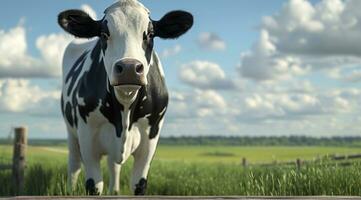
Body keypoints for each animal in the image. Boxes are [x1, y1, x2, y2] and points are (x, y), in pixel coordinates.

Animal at [57, 0, 193, 195]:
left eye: (150, 34)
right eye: (104, 34)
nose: (129, 68)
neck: (125, 108)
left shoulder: (150, 140)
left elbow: (139, 184)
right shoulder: (87, 138)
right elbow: (93, 185)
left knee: (114, 166)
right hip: (72, 131)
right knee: (74, 165)